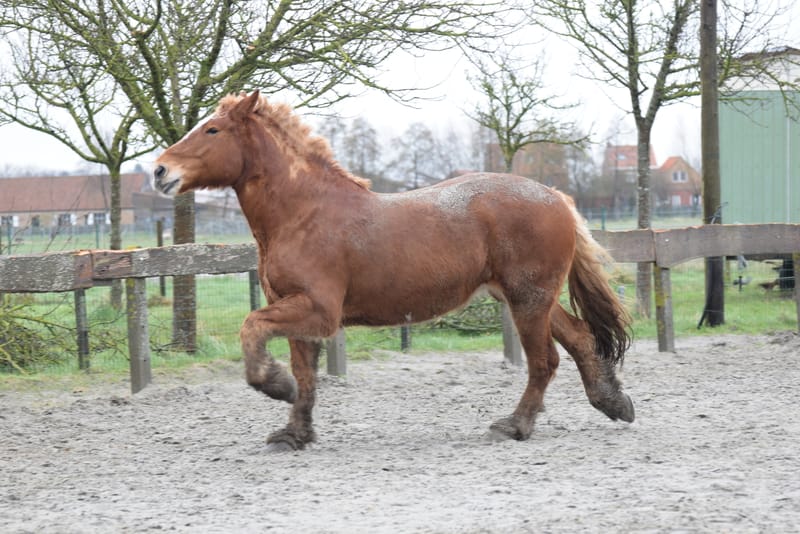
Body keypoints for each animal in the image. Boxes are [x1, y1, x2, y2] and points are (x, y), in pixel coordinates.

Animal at [153, 90, 635, 451]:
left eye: (212, 129)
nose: (160, 171)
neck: (304, 214)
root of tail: (556, 197)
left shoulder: (318, 311)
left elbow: (252, 329)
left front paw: (274, 384)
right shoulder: (295, 311)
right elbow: (305, 373)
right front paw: (294, 433)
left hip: (528, 299)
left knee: (544, 361)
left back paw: (514, 426)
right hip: (527, 297)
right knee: (580, 339)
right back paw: (613, 402)